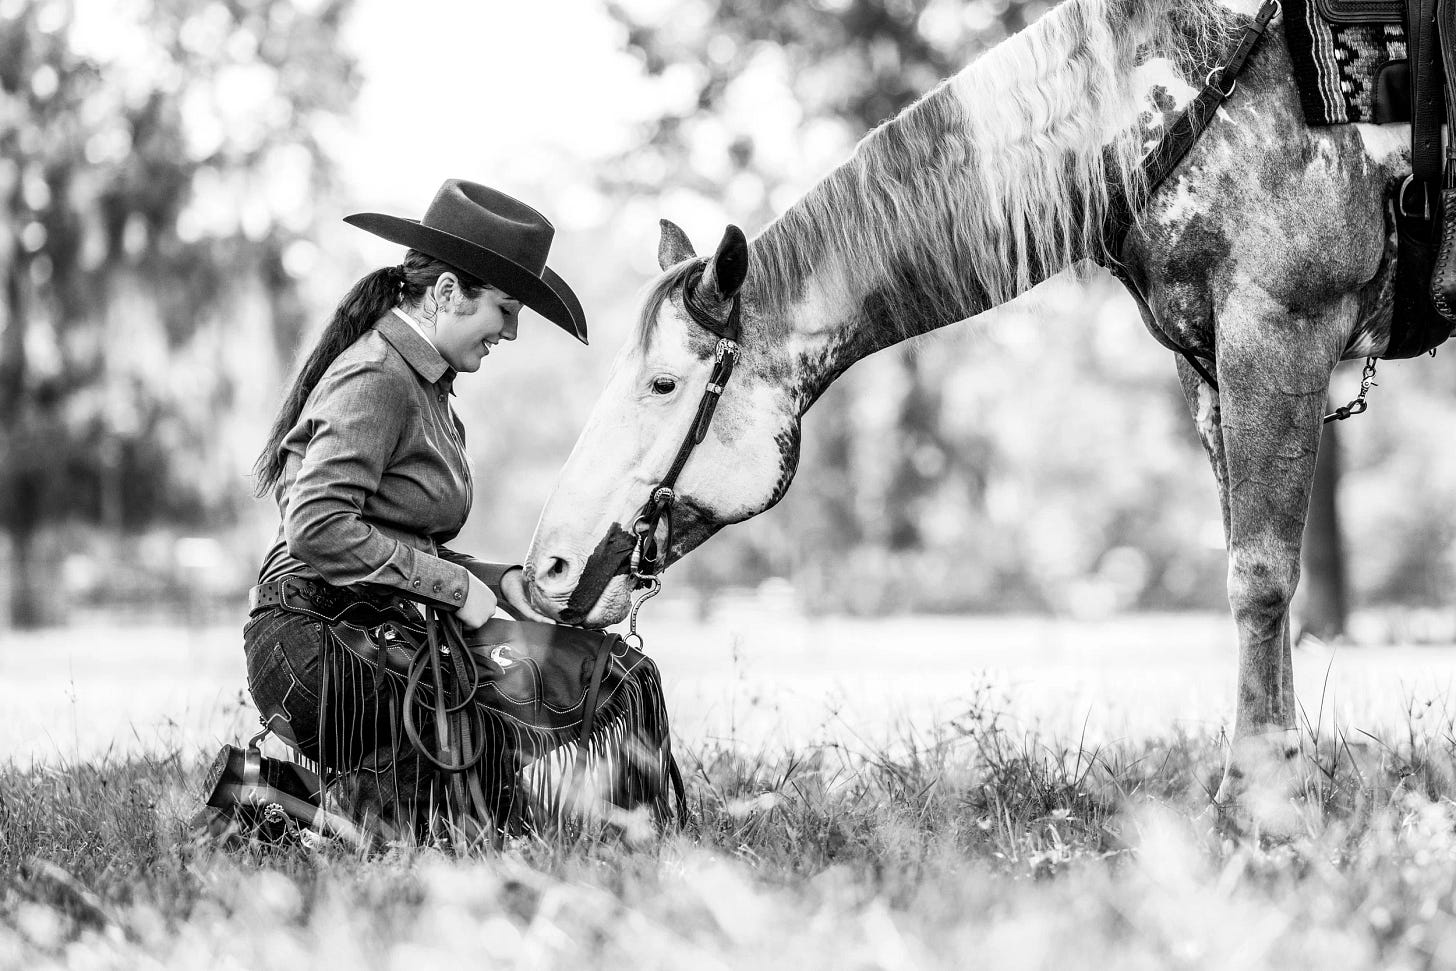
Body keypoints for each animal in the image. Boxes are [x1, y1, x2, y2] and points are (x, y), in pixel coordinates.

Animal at [524, 0, 1408, 807]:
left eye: (664, 384)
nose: (545, 571)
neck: (1181, 95)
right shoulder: (1213, 372)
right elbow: (1255, 571)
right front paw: (1283, 780)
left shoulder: (1277, 329)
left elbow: (1259, 577)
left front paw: (1257, 804)